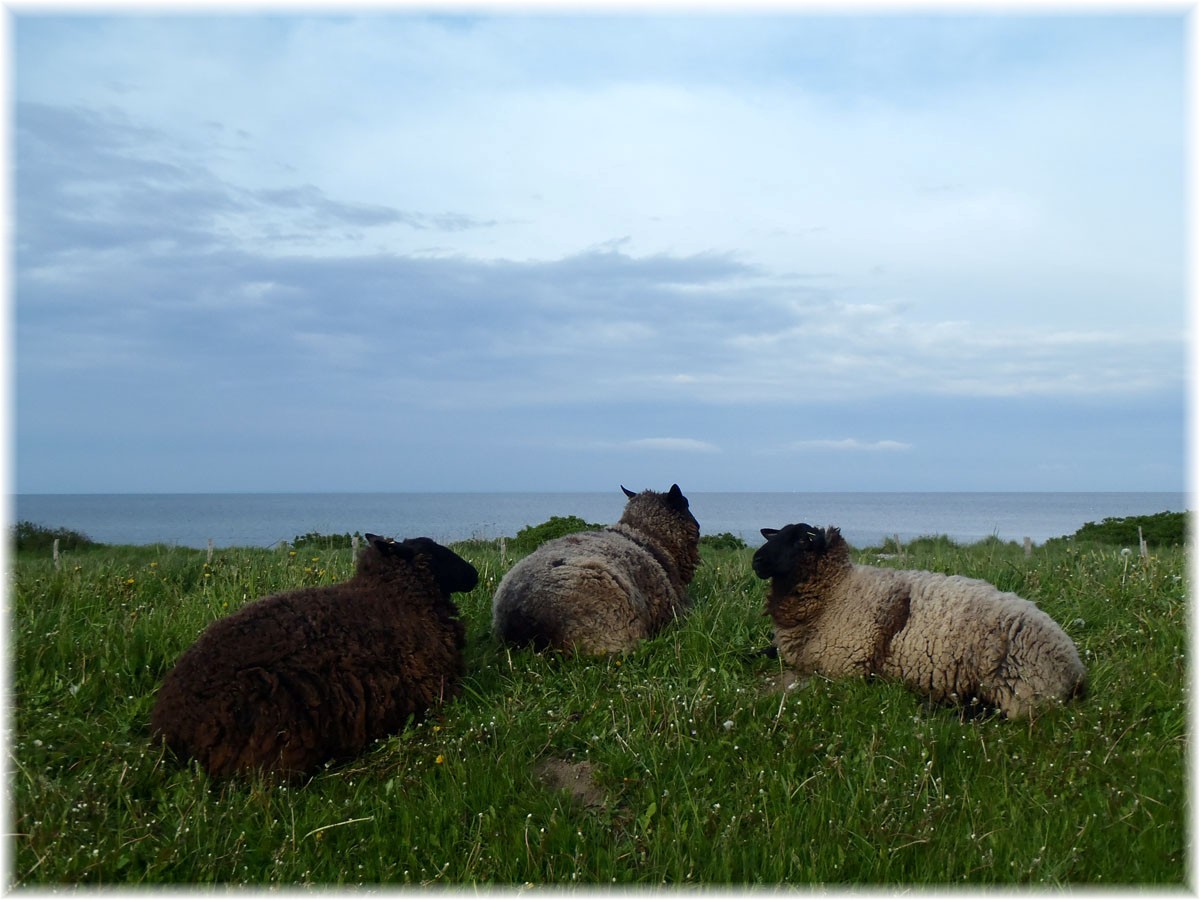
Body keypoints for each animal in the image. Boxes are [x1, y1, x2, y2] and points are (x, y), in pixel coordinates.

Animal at [748, 525, 1089, 724]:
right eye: (777, 535)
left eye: (801, 541)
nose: (756, 561)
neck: (838, 591)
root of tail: (1075, 671)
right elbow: (754, 653)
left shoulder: (840, 668)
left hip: (1018, 690)